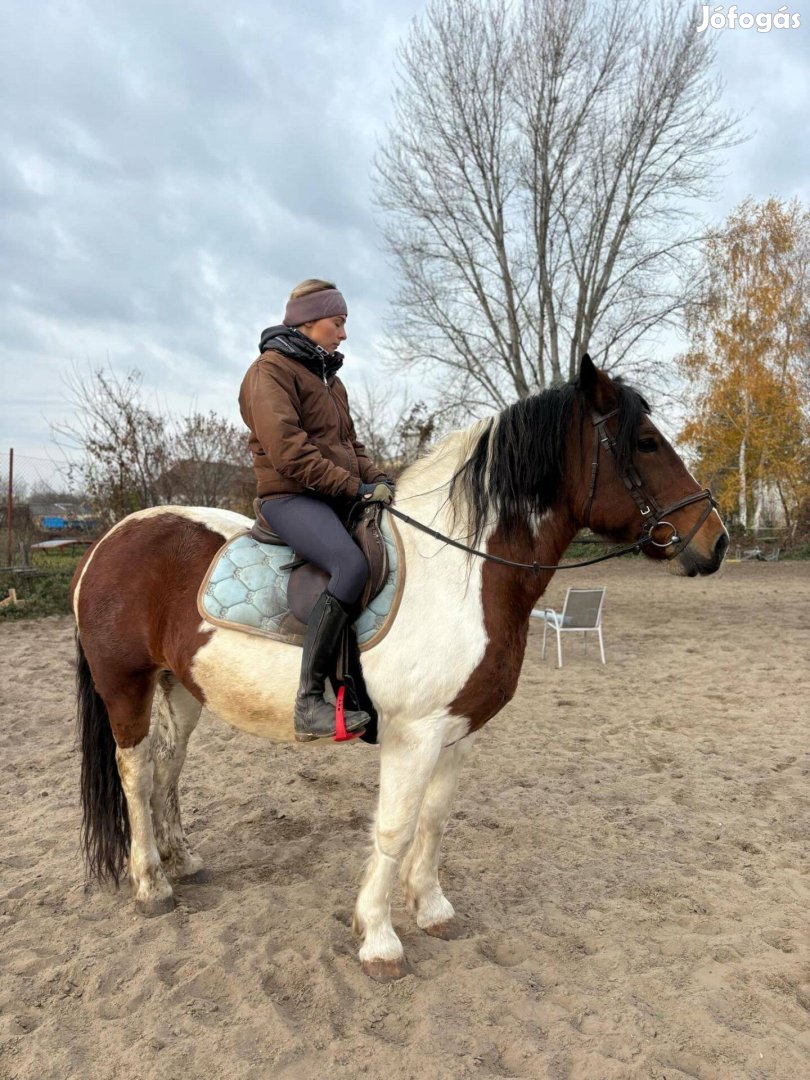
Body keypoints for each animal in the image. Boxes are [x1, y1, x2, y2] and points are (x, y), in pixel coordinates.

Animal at [71, 358, 730, 984]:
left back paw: (183, 861)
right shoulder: (413, 735)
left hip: (182, 688)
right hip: (126, 685)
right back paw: (152, 885)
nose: (717, 542)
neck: (461, 570)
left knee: (168, 765)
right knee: (136, 773)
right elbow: (394, 829)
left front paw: (432, 910)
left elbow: (433, 821)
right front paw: (380, 939)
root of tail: (111, 538)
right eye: (645, 442)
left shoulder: (459, 730)